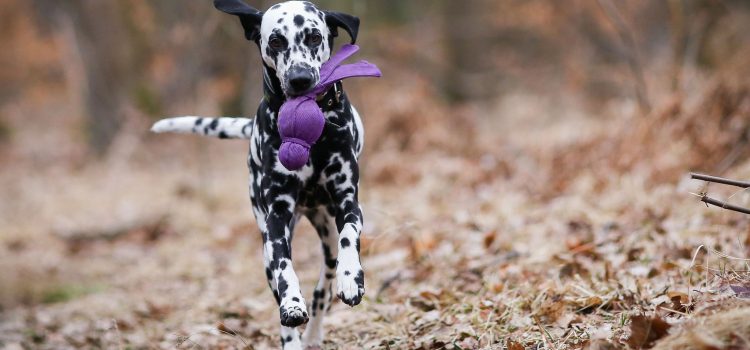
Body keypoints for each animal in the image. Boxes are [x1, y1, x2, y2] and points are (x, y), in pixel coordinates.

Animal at [150, 0, 368, 350]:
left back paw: (316, 330)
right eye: (276, 41)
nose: (300, 79)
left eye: (314, 37)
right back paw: (295, 337)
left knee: (323, 284)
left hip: (326, 234)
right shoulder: (276, 219)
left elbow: (349, 234)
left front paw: (351, 281)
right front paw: (292, 304)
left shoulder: (348, 201)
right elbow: (284, 268)